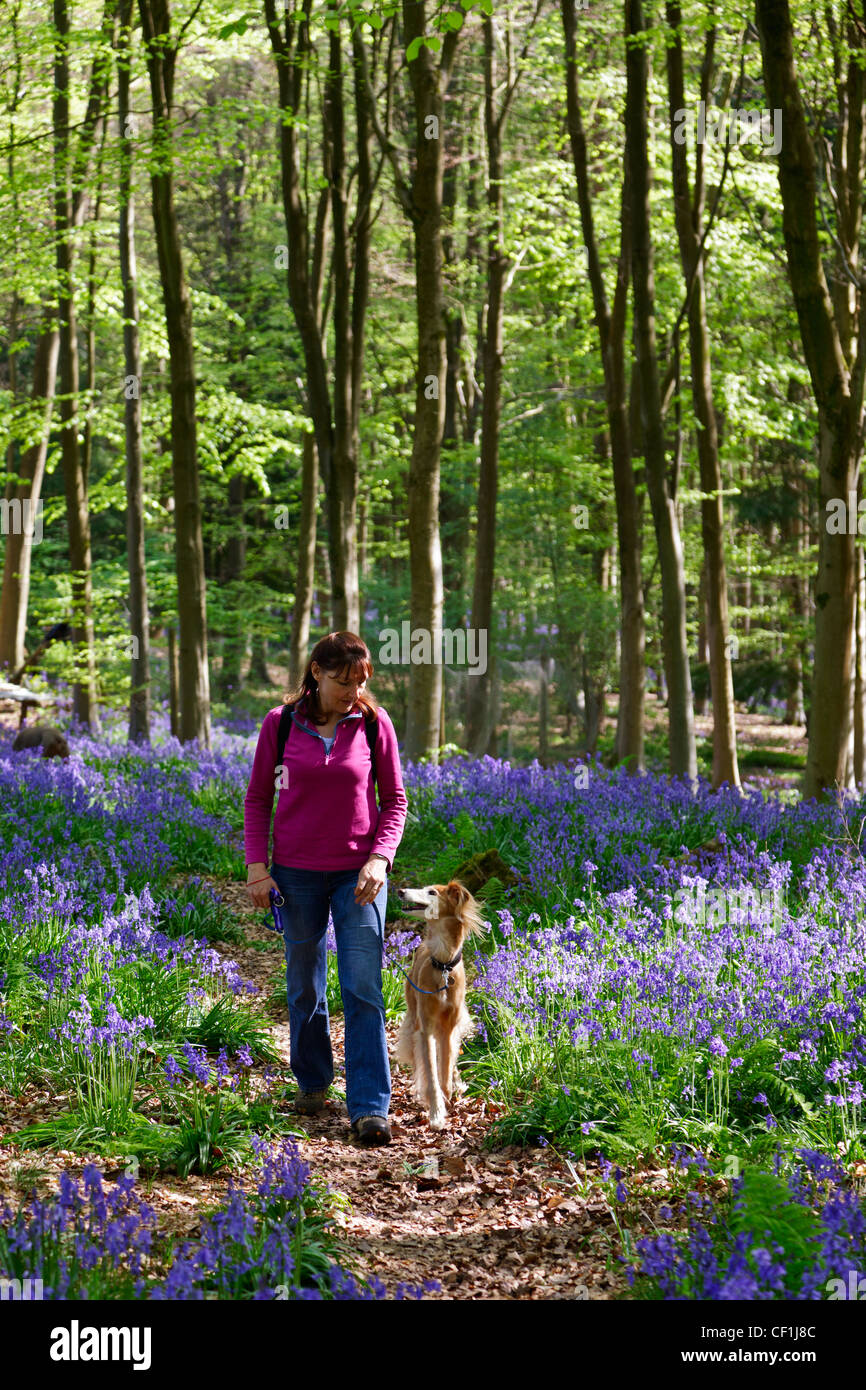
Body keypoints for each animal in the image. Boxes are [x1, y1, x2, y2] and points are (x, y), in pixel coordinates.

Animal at [394, 884, 483, 1134]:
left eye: (432, 892)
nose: (400, 890)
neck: (443, 965)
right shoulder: (426, 1029)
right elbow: (432, 1075)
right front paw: (436, 1113)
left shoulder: (448, 1028)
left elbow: (444, 1070)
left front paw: (448, 1095)